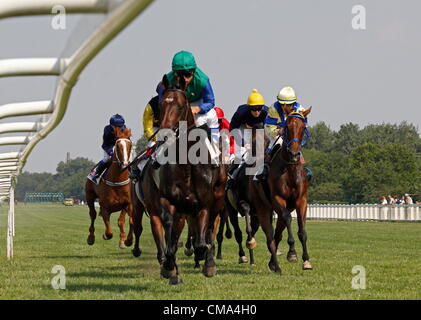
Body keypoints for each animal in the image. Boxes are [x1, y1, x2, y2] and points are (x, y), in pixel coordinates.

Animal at [131, 75, 223, 284]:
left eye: (180, 106)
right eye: (162, 105)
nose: (164, 134)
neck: (188, 165)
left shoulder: (204, 203)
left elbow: (202, 240)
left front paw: (204, 260)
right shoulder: (170, 201)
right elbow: (170, 234)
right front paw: (170, 267)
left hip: (217, 197)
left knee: (209, 229)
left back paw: (207, 261)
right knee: (165, 230)